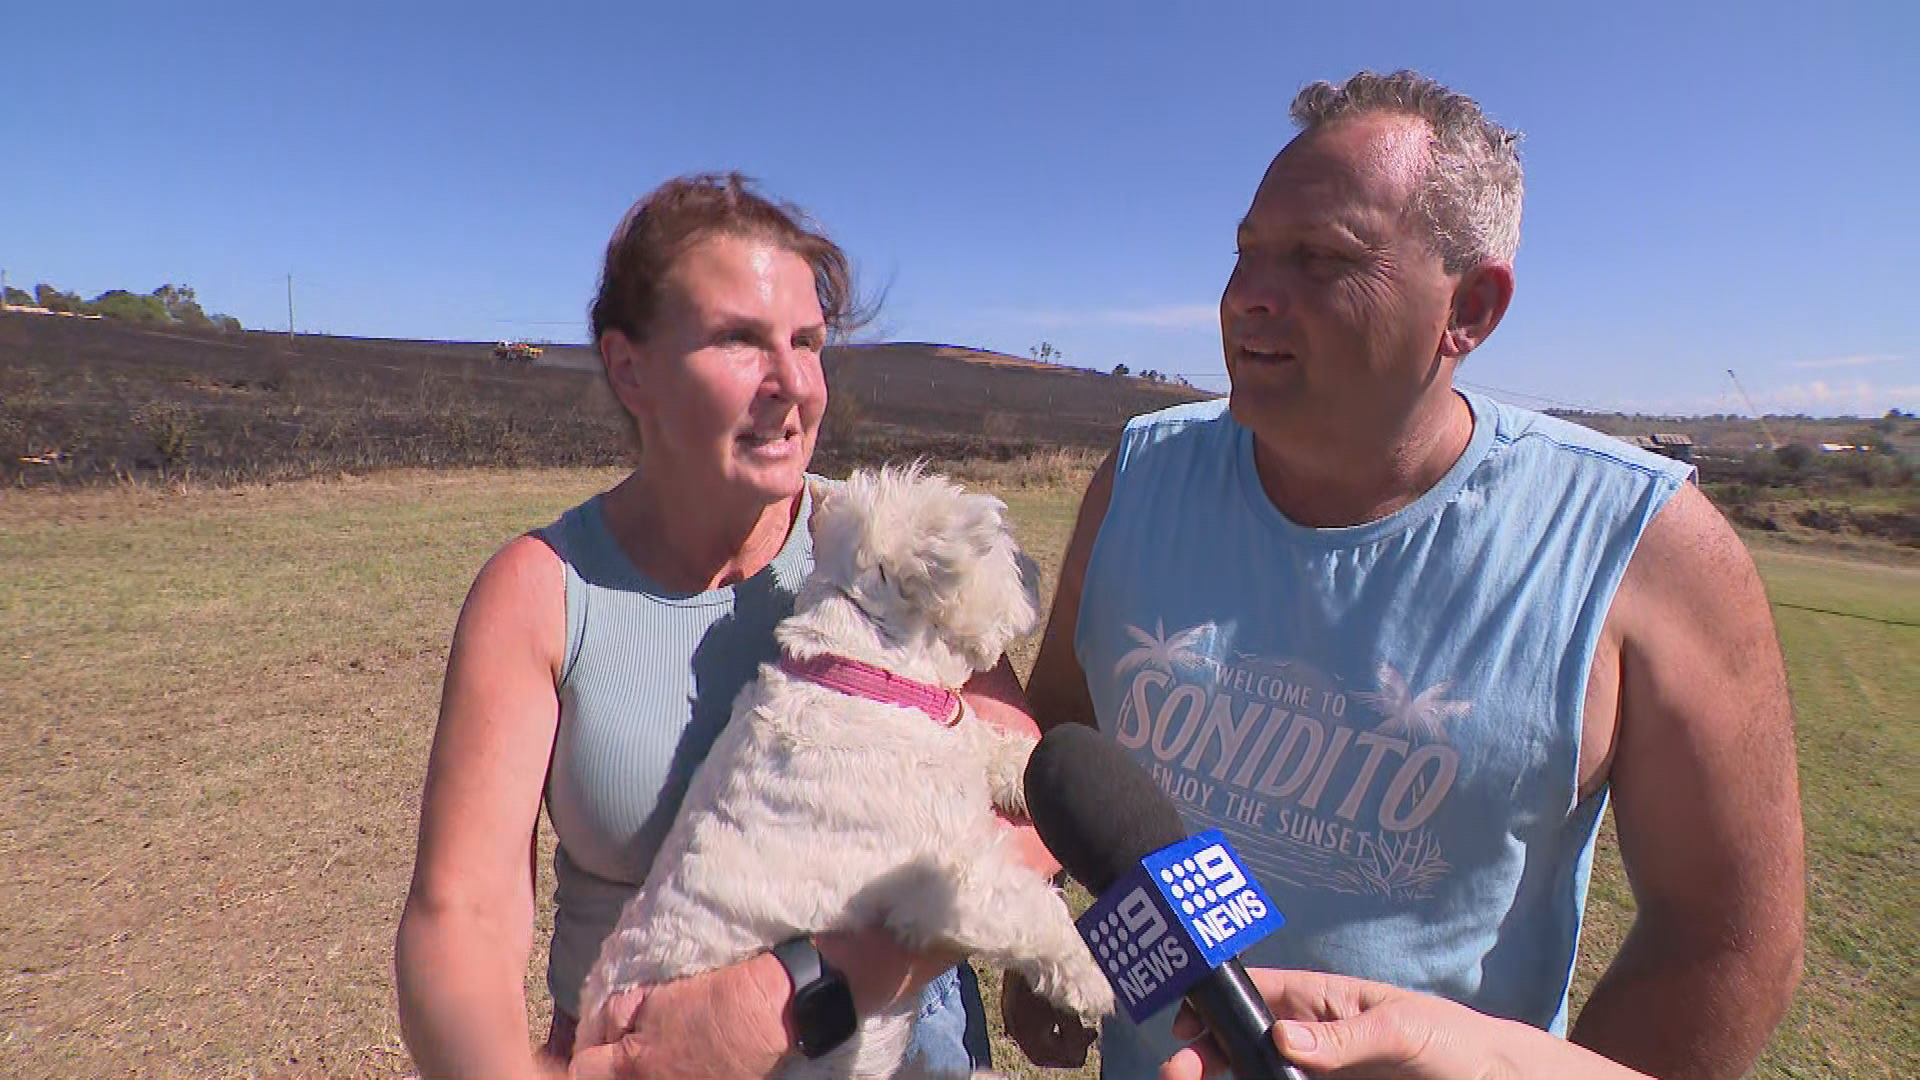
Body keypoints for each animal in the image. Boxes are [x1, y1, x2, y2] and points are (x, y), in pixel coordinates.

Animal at [568, 465, 1113, 1076]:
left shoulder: (964, 743)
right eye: (997, 540)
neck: (860, 673)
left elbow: (1011, 752)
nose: (1038, 569)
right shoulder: (943, 882)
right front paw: (1092, 976)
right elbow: (1031, 910)